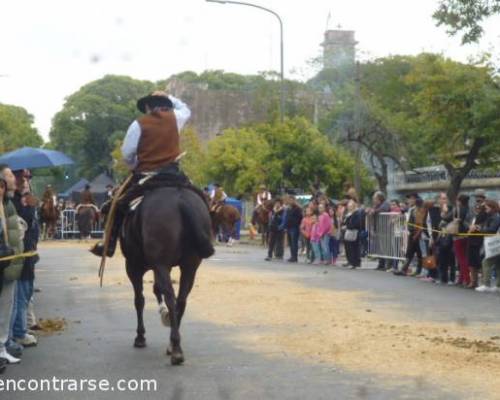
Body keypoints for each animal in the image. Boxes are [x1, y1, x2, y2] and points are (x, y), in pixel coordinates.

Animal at [122, 188, 215, 366]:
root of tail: (180, 200)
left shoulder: (134, 267)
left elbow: (139, 300)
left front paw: (140, 336)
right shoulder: (162, 267)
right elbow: (156, 289)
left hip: (159, 264)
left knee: (171, 297)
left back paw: (175, 348)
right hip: (189, 267)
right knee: (181, 299)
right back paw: (173, 345)